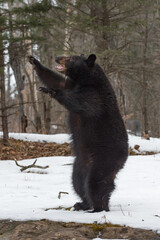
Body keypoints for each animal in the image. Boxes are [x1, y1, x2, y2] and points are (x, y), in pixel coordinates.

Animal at [28, 54, 129, 212]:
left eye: (70, 58)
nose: (57, 57)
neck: (86, 81)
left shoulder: (96, 97)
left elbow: (79, 101)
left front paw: (51, 91)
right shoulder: (71, 84)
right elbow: (56, 80)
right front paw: (34, 62)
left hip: (106, 159)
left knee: (97, 183)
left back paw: (99, 207)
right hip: (80, 165)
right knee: (78, 183)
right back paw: (82, 204)